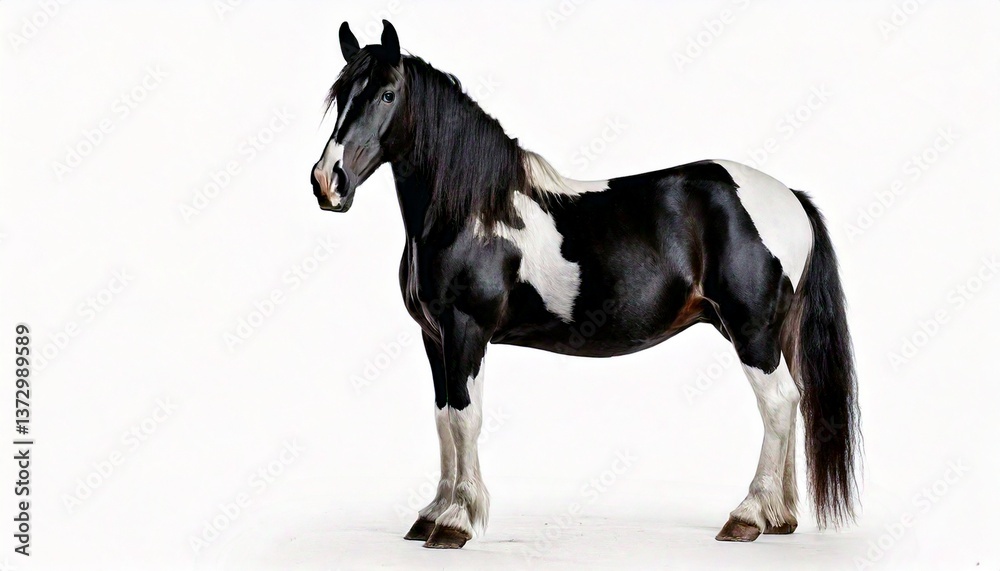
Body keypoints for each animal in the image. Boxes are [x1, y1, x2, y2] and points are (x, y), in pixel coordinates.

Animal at [309, 20, 860, 549]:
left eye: (386, 94)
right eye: (340, 95)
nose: (327, 182)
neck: (473, 211)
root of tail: (789, 196)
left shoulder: (466, 330)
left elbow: (466, 418)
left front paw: (456, 523)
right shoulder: (434, 336)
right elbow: (444, 419)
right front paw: (432, 514)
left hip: (752, 331)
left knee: (778, 403)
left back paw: (747, 516)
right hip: (765, 331)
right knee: (791, 405)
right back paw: (779, 518)